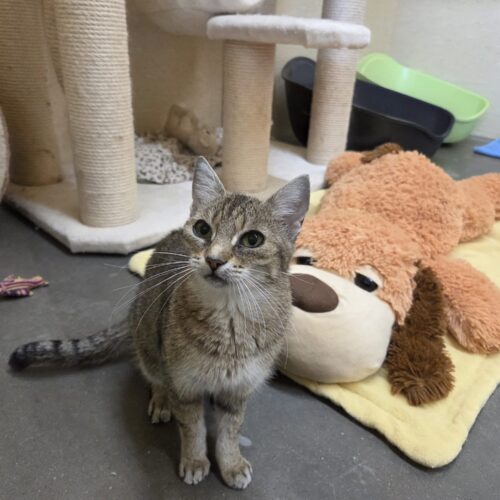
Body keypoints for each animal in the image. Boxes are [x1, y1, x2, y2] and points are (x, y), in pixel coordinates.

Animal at [9, 158, 310, 489]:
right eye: (203, 229)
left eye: (252, 239)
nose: (214, 260)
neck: (229, 322)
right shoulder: (184, 385)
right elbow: (192, 429)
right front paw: (195, 460)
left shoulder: (237, 391)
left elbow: (230, 433)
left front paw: (231, 465)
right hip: (150, 344)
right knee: (155, 377)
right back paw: (162, 401)